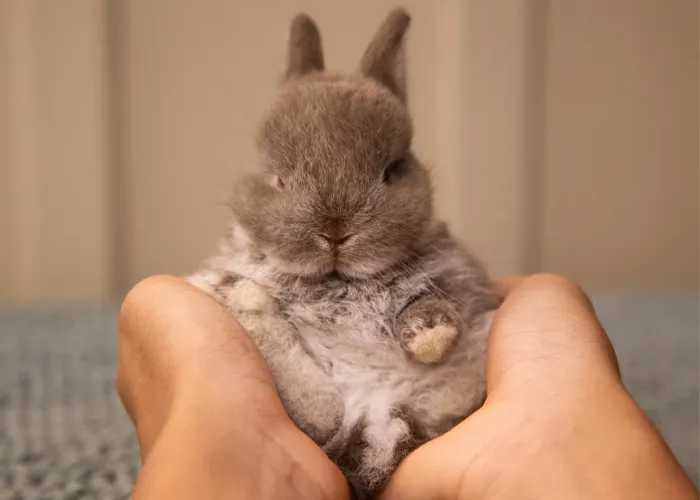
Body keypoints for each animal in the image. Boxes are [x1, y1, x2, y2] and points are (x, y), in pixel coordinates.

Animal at [188, 7, 500, 499]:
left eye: (392, 171)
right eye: (277, 177)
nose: (334, 231)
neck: (339, 281)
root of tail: (375, 419)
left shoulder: (455, 273)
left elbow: (433, 298)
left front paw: (430, 335)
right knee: (317, 416)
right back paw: (246, 301)